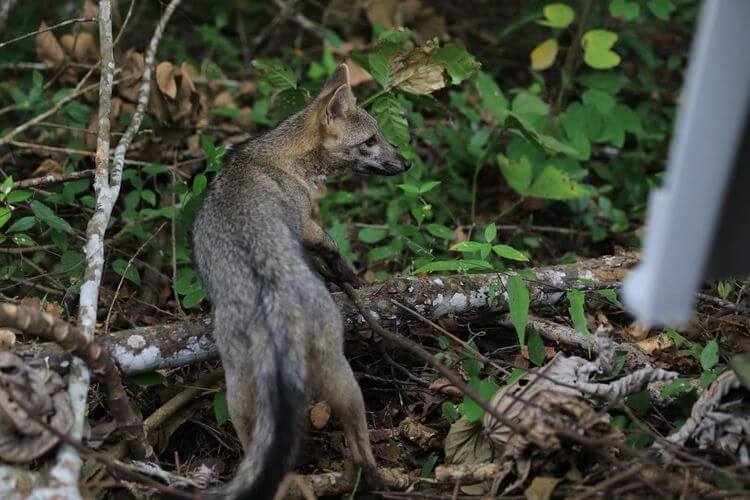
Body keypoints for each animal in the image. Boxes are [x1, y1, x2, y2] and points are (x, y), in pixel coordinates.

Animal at [192, 63, 411, 499]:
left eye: (381, 135)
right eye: (371, 140)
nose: (406, 163)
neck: (273, 157)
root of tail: (273, 307)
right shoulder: (306, 221)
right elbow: (331, 246)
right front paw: (349, 276)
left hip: (241, 398)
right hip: (343, 376)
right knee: (362, 448)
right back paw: (380, 479)